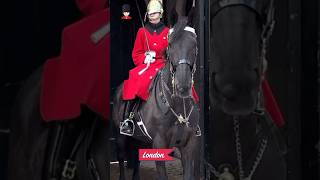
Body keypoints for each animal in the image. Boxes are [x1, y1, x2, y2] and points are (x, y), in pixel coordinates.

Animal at [111, 8, 199, 179]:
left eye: (194, 44)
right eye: (170, 44)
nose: (183, 86)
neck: (178, 106)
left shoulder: (189, 147)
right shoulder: (159, 145)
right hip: (120, 136)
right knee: (121, 156)